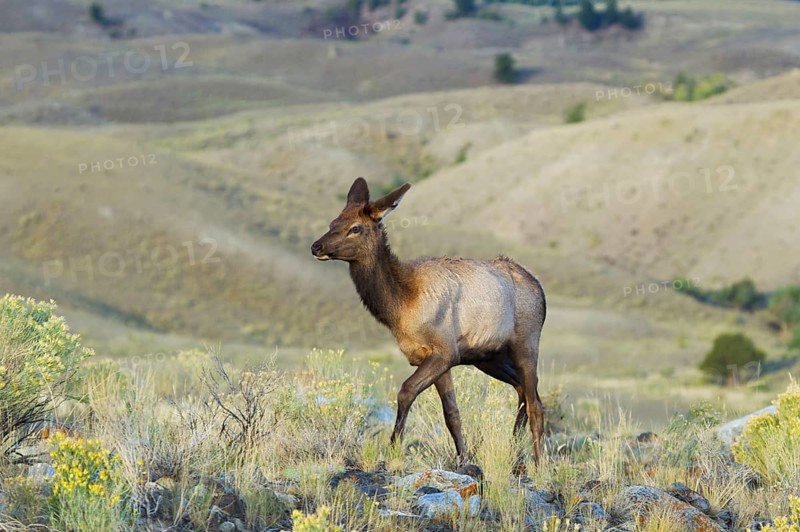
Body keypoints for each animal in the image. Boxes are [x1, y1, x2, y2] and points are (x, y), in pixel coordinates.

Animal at [311, 177, 547, 465]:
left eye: (355, 228)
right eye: (332, 222)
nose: (316, 246)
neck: (400, 305)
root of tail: (539, 288)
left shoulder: (445, 351)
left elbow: (405, 391)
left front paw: (393, 450)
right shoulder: (437, 358)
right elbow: (452, 415)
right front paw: (464, 460)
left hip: (527, 343)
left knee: (536, 402)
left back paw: (539, 464)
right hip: (488, 356)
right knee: (523, 391)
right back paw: (513, 453)